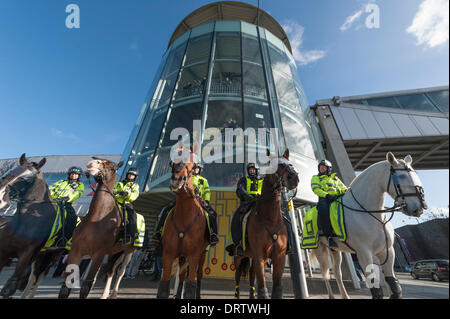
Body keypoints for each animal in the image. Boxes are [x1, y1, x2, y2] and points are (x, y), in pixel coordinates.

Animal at [0, 155, 54, 300]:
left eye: (26, 178)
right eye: (9, 172)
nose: (0, 197)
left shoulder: (26, 254)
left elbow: (8, 289)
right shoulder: (4, 251)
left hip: (51, 257)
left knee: (37, 277)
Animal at [59, 158, 137, 300]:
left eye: (112, 165)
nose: (93, 162)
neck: (97, 217)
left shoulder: (98, 254)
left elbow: (86, 286)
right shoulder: (76, 251)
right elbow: (66, 286)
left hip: (129, 251)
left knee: (121, 272)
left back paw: (114, 293)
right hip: (114, 253)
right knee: (111, 271)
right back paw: (105, 294)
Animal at [156, 141, 209, 298]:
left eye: (190, 161)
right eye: (172, 160)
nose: (177, 179)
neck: (185, 215)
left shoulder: (194, 255)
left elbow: (191, 285)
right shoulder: (168, 254)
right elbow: (164, 287)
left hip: (202, 254)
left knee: (198, 275)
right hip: (182, 256)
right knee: (181, 276)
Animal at [232, 150, 298, 300]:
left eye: (290, 163)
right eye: (276, 165)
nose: (294, 178)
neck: (270, 219)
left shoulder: (279, 256)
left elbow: (277, 289)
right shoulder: (259, 255)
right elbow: (262, 287)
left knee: (251, 275)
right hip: (239, 256)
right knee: (237, 276)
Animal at [312, 152, 428, 300]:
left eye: (415, 174)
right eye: (401, 176)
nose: (419, 208)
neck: (372, 214)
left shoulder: (387, 251)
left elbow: (395, 287)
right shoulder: (364, 253)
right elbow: (376, 289)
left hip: (335, 250)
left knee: (337, 273)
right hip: (319, 249)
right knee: (325, 273)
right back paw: (331, 296)